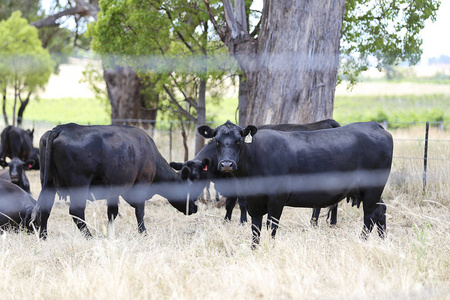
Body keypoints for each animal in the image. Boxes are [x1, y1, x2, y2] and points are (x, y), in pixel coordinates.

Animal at [32, 122, 198, 239]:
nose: (195, 208)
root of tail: (61, 128)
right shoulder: (142, 183)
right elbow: (140, 211)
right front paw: (143, 232)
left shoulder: (113, 190)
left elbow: (112, 213)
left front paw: (110, 233)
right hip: (79, 184)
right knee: (76, 212)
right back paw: (89, 237)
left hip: (48, 182)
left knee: (45, 209)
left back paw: (43, 236)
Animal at [172, 118, 342, 224]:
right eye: (217, 140)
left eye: (195, 177)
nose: (185, 197)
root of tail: (329, 122)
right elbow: (229, 203)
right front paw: (227, 220)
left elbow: (237, 202)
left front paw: (242, 221)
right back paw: (331, 222)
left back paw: (315, 222)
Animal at [199, 120, 392, 247]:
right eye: (217, 141)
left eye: (238, 141)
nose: (227, 164)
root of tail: (373, 124)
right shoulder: (253, 200)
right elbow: (255, 228)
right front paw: (254, 249)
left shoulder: (277, 198)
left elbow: (271, 225)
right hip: (371, 192)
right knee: (381, 210)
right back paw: (382, 240)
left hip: (372, 189)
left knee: (370, 215)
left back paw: (363, 241)